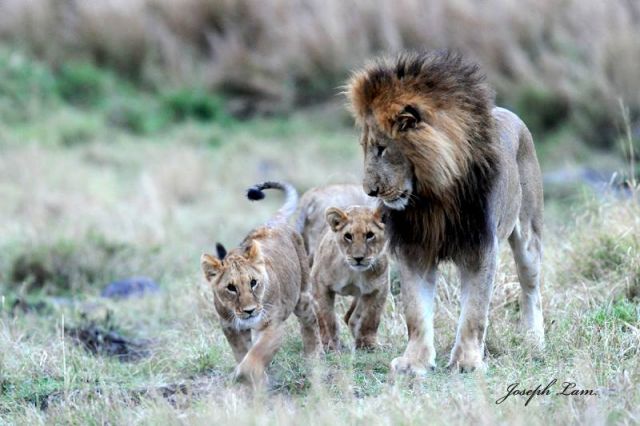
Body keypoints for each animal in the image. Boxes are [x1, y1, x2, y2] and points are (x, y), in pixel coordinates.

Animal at [200, 181, 322, 386]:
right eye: (231, 288)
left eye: (253, 283)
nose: (249, 311)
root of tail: (272, 222)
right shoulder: (230, 327)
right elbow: (243, 353)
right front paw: (251, 377)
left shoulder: (272, 325)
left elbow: (257, 354)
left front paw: (245, 374)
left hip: (303, 296)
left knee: (310, 323)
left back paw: (314, 357)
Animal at [311, 205, 389, 350]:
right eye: (348, 236)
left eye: (370, 235)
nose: (358, 258)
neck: (353, 272)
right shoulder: (319, 283)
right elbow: (326, 317)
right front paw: (329, 344)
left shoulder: (379, 288)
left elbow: (371, 317)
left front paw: (368, 344)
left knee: (351, 317)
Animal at [347, 50, 544, 375]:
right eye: (365, 147)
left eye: (382, 148)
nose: (370, 191)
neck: (433, 196)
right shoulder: (414, 249)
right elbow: (416, 312)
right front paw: (414, 362)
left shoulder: (480, 248)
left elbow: (474, 312)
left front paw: (467, 362)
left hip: (529, 235)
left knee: (531, 289)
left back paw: (533, 339)